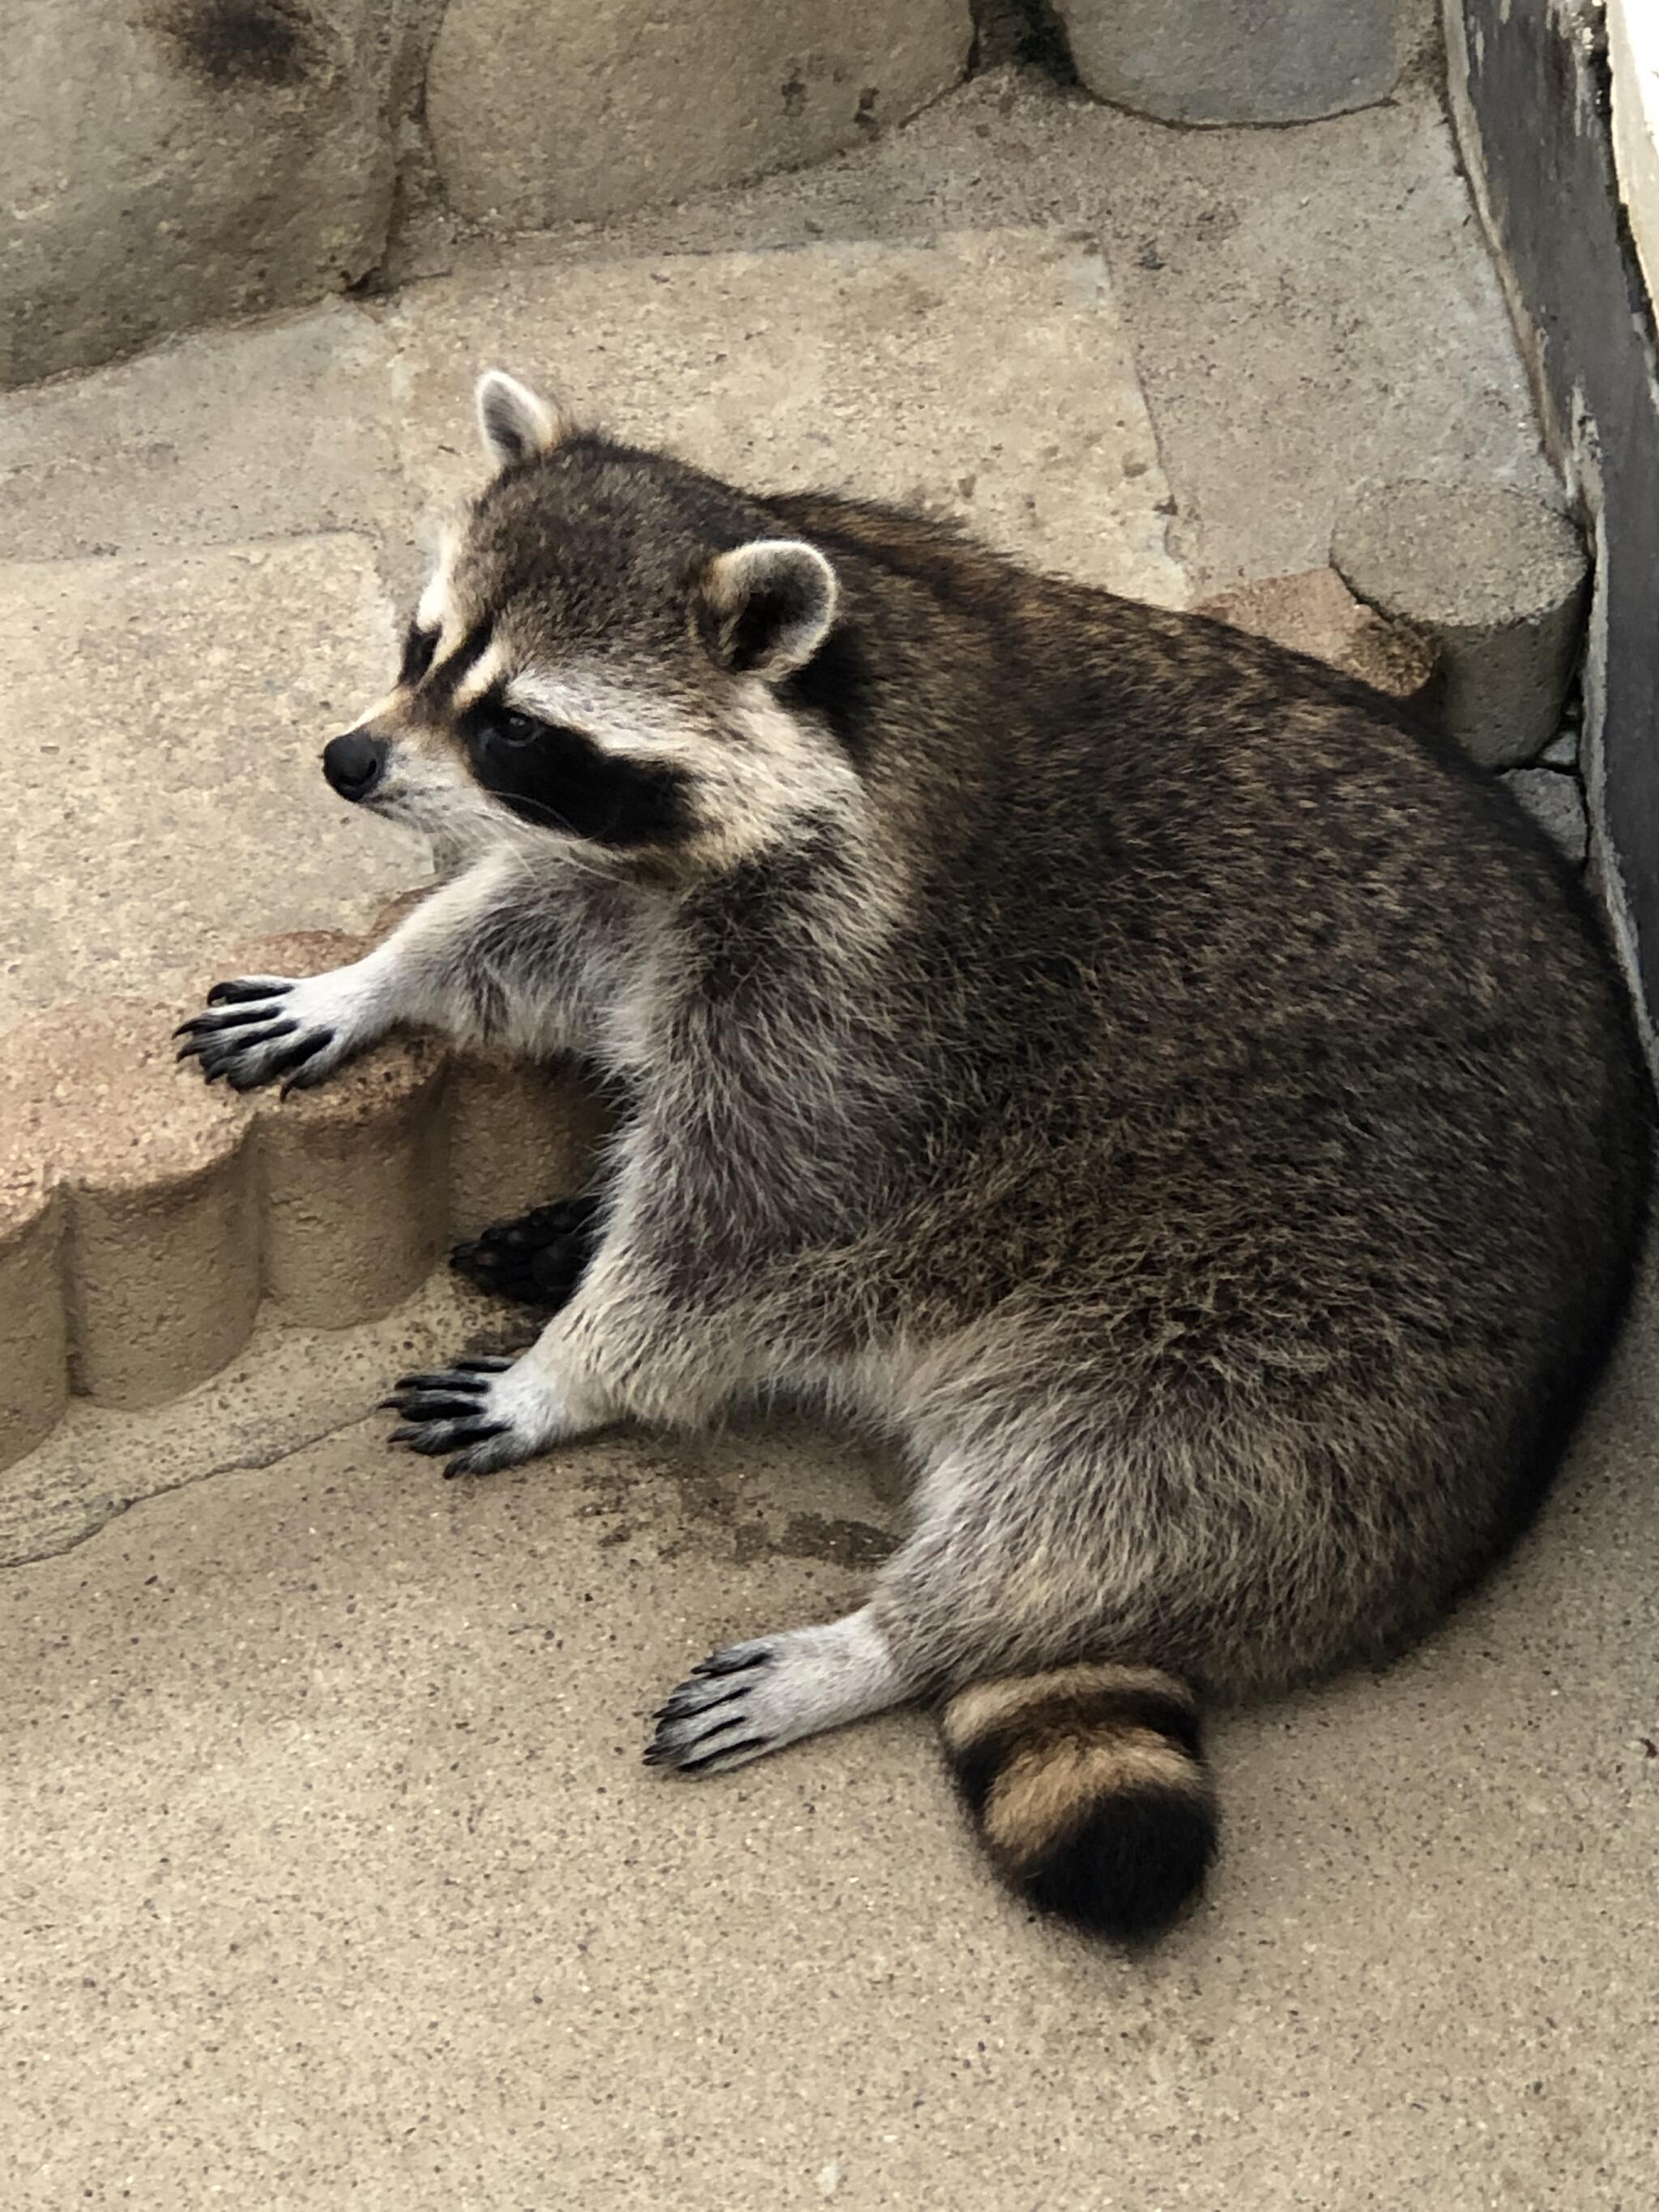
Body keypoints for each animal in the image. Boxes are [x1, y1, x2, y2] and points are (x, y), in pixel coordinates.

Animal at [176, 376, 1654, 1937]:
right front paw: (377, 976)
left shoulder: (870, 1015)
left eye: (517, 724)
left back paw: (887, 1638)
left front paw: (569, 1374)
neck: (834, 711)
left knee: (1133, 1499)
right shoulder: (652, 883)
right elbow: (534, 926)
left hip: (1310, 1353)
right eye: (425, 645)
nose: (348, 762)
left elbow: (731, 1234)